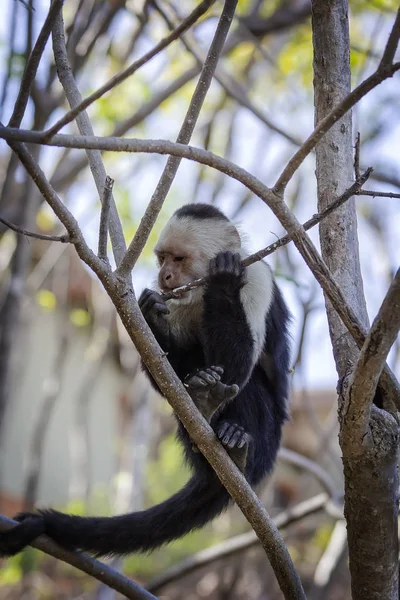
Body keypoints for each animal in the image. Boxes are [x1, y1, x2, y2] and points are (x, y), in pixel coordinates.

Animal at [0, 203, 290, 556]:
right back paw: (204, 412)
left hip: (267, 433)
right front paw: (149, 312)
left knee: (252, 384)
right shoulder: (172, 299)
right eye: (162, 258)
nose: (165, 276)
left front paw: (223, 280)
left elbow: (237, 368)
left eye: (179, 259)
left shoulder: (256, 278)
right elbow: (167, 376)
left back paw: (233, 437)